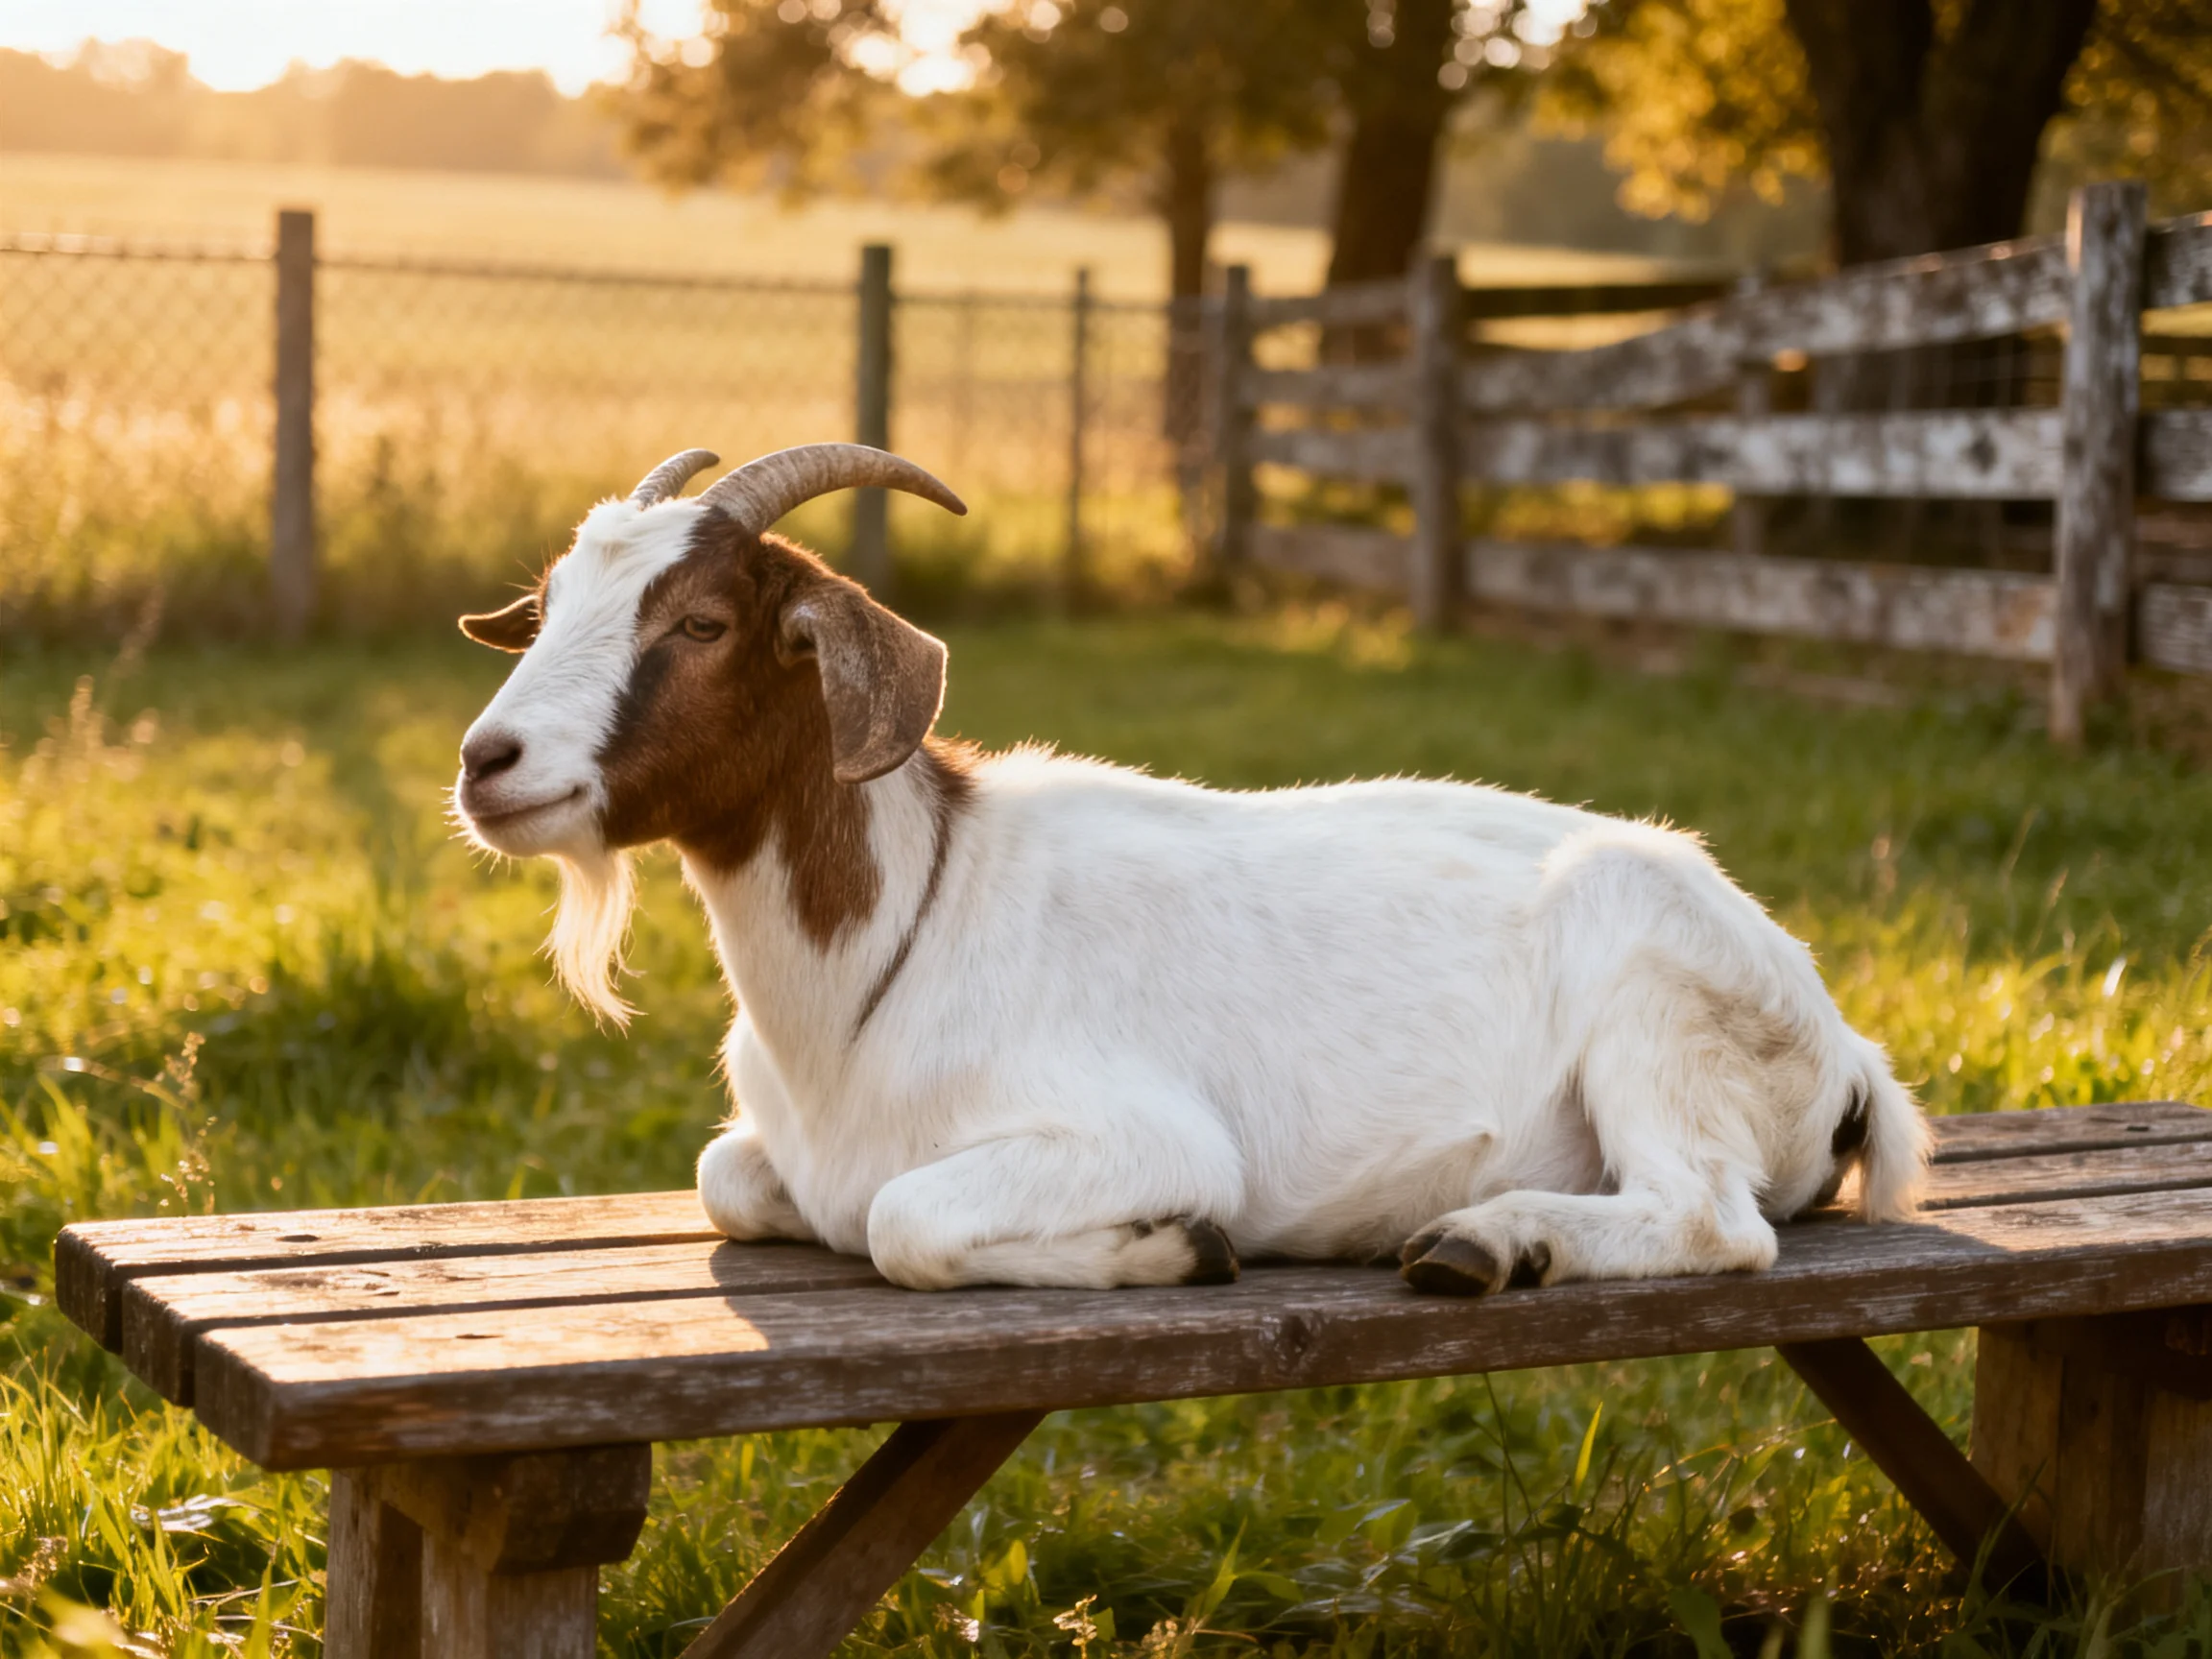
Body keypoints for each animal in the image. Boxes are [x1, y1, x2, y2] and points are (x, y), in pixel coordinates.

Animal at [453, 444, 1930, 1295]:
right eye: (551, 606)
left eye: (702, 622)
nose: (487, 760)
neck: (898, 938)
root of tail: (1843, 1041)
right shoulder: (763, 1155)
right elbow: (731, 1177)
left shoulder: (1140, 1132)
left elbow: (902, 1222)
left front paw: (1172, 1245)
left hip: (1658, 1014)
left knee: (1711, 1221)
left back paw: (1487, 1237)